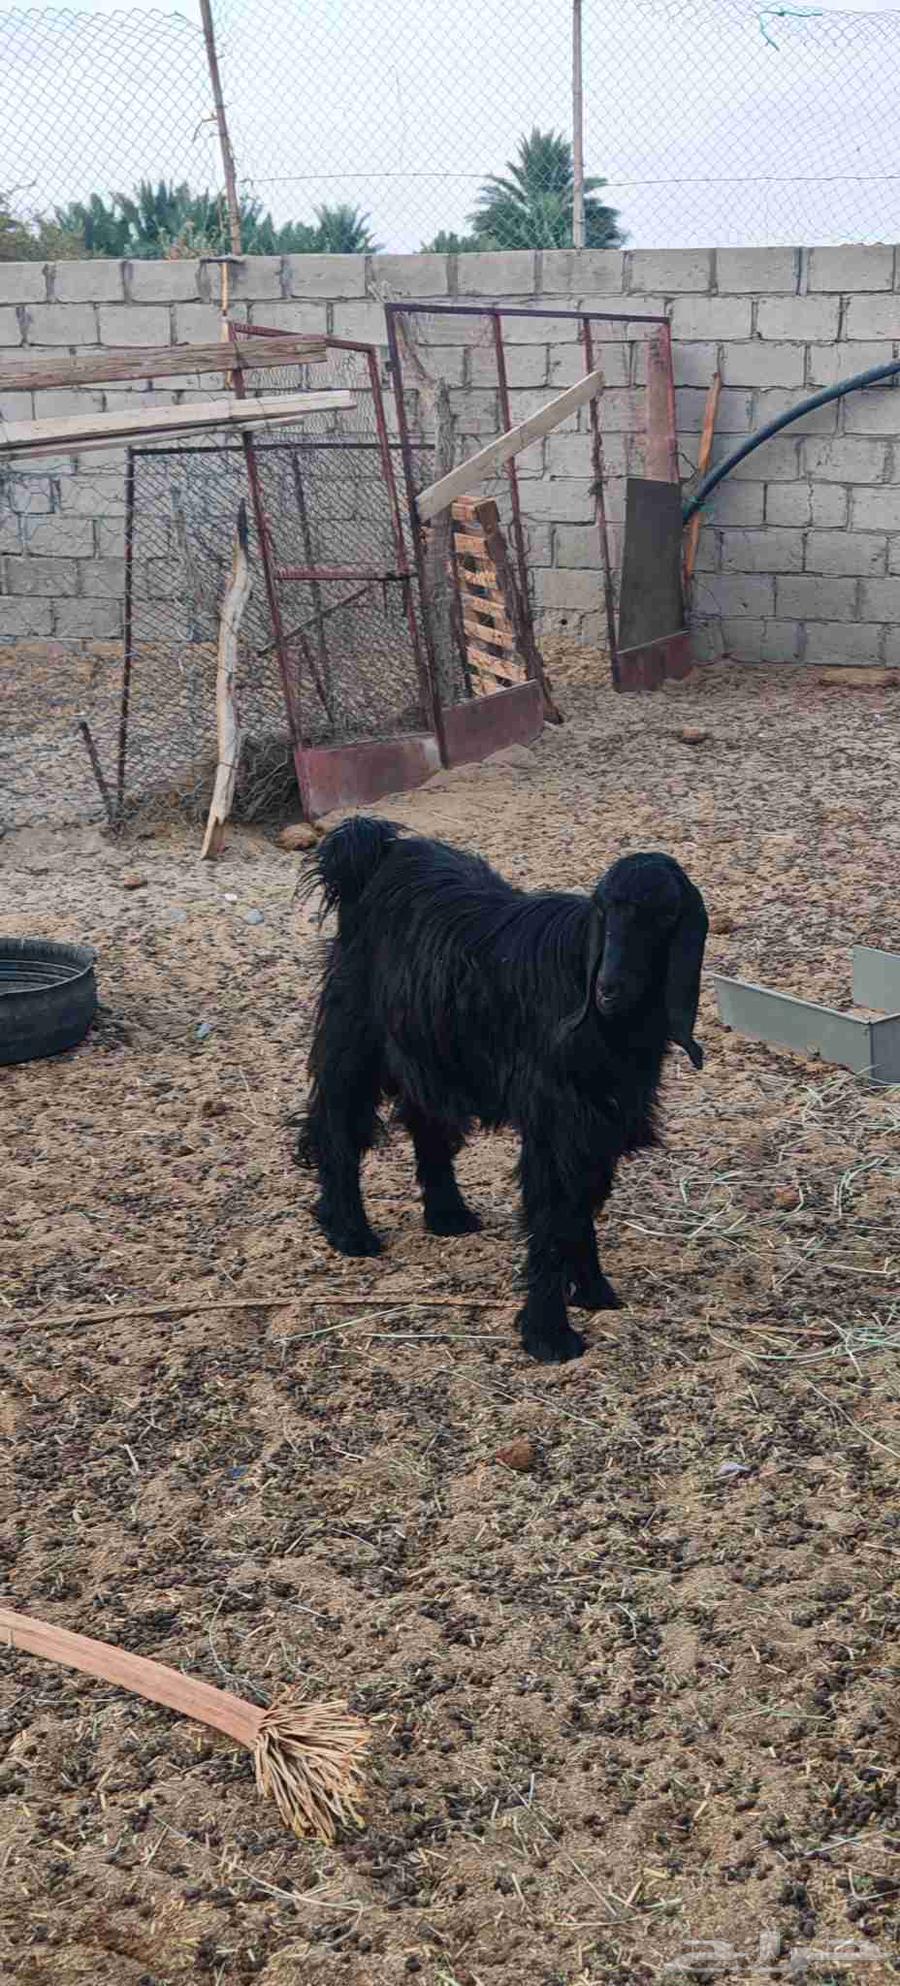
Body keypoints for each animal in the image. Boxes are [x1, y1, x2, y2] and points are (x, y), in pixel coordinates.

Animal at [299, 817, 708, 1364]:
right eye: (605, 911)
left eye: (665, 916)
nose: (608, 989)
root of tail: (372, 847)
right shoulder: (557, 1120)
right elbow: (553, 1215)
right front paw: (549, 1334)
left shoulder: (601, 1120)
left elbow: (583, 1203)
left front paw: (593, 1291)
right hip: (356, 1033)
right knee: (338, 1124)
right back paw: (350, 1231)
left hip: (430, 1043)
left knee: (426, 1122)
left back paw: (448, 1215)